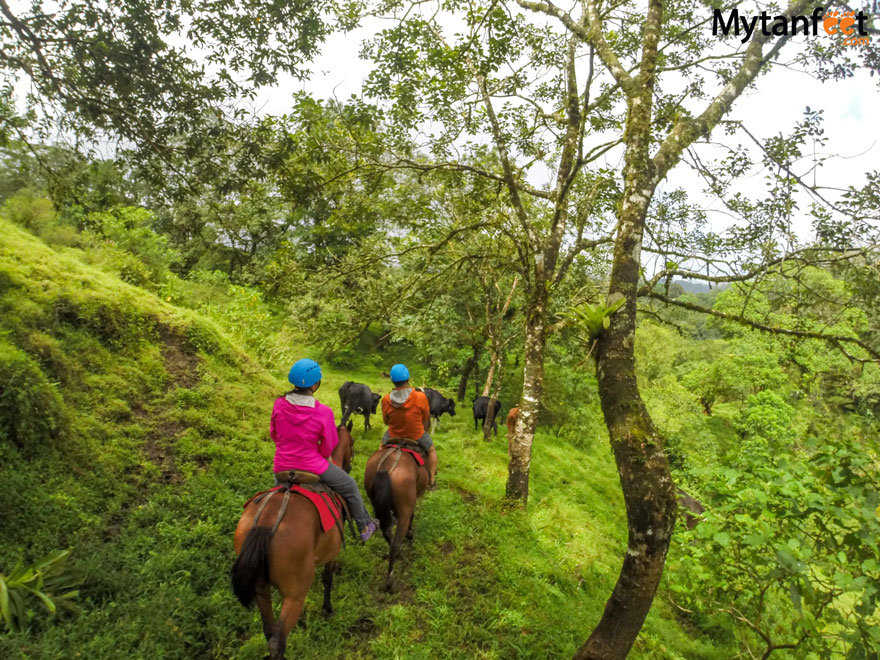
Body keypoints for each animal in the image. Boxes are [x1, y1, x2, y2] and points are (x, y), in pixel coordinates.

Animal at [234, 422, 358, 660]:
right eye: (353, 442)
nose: (348, 466)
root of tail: (266, 522)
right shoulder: (332, 552)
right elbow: (328, 579)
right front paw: (327, 609)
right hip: (293, 595)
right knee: (278, 641)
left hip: (261, 590)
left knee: (269, 633)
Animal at [364, 440, 430, 592]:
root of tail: (385, 468)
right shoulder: (412, 503)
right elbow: (412, 516)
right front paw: (410, 535)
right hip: (404, 512)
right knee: (395, 542)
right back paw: (390, 582)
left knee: (387, 533)